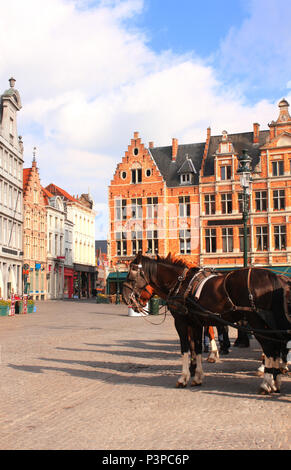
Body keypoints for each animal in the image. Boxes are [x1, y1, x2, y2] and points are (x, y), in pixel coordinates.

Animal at [122, 253, 291, 392]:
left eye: (132, 271)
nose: (124, 296)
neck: (181, 284)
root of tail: (272, 276)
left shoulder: (181, 323)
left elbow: (185, 348)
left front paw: (183, 377)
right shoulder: (196, 323)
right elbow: (196, 348)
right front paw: (197, 376)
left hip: (256, 320)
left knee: (269, 346)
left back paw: (267, 383)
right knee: (277, 345)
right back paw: (276, 380)